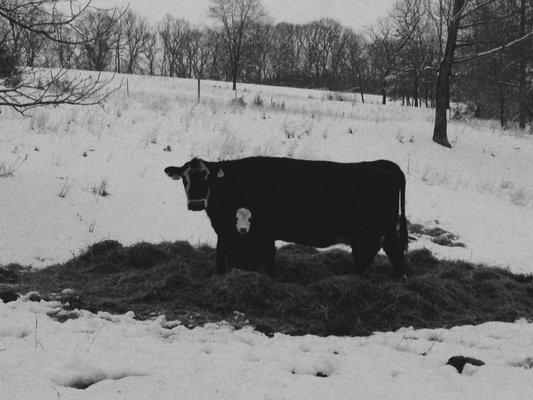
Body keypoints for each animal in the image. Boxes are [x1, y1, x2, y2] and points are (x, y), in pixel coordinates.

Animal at [164, 157, 406, 278]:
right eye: (184, 178)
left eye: (207, 177)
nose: (196, 203)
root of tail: (382, 164)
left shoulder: (257, 231)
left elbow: (262, 258)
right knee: (388, 252)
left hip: (370, 232)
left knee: (377, 254)